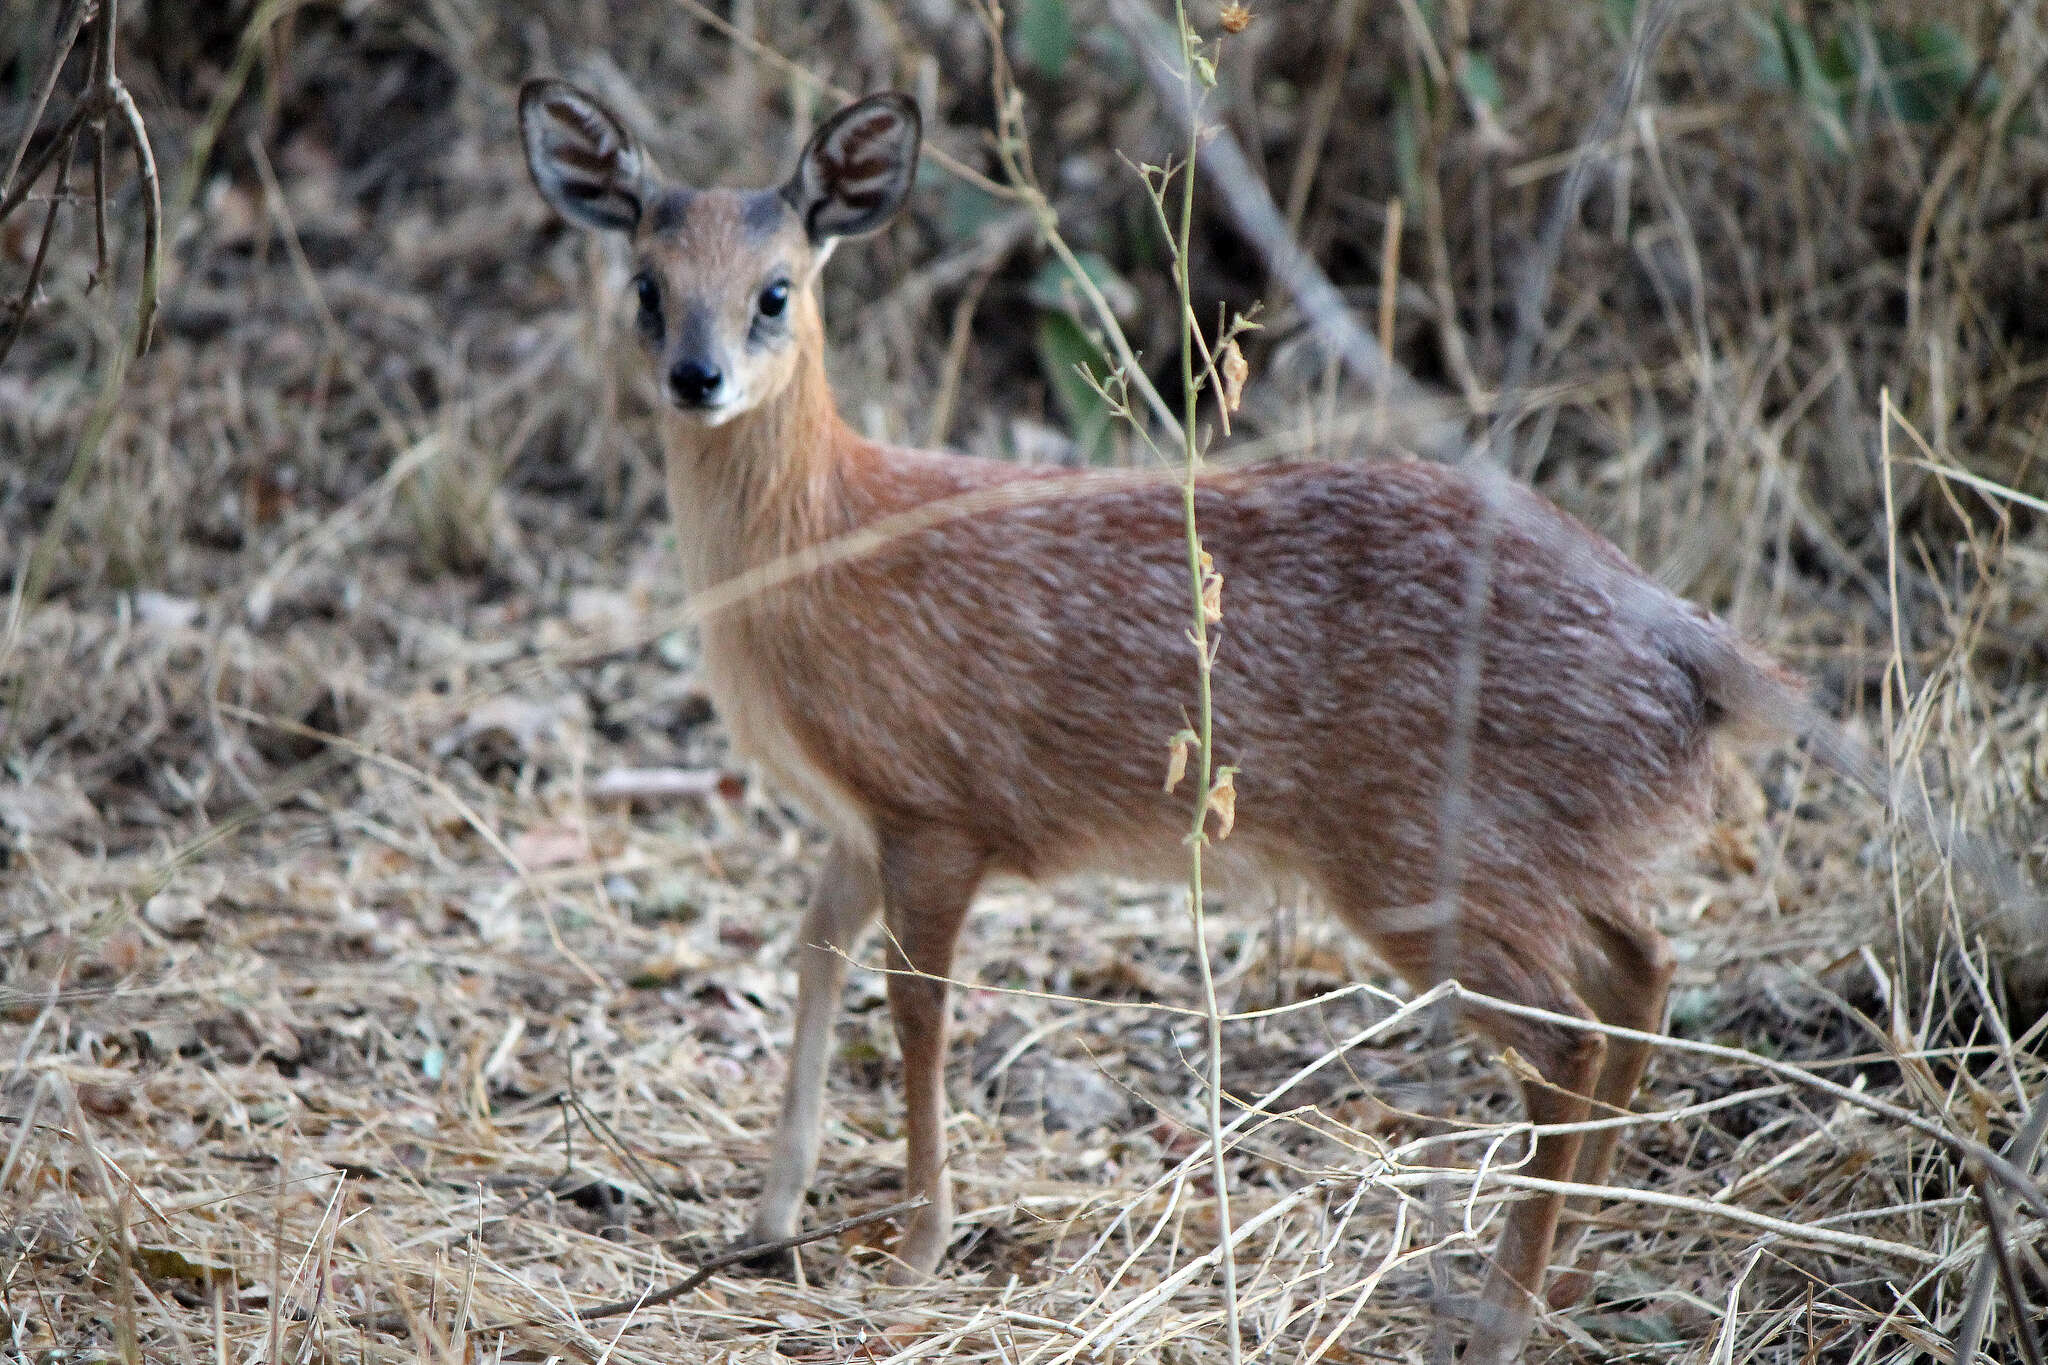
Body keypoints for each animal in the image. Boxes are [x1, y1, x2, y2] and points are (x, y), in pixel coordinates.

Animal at [528, 82, 1826, 1365]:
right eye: (645, 285)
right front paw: (767, 1220)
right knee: (1641, 971)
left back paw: (1501, 1315)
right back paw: (1582, 1256)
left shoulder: (934, 813)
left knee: (1566, 1041)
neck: (821, 539)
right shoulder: (856, 824)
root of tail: (1691, 644)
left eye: (775, 290)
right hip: (1542, 848)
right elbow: (809, 963)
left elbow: (914, 1014)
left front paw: (913, 1252)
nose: (694, 376)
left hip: (1420, 862)